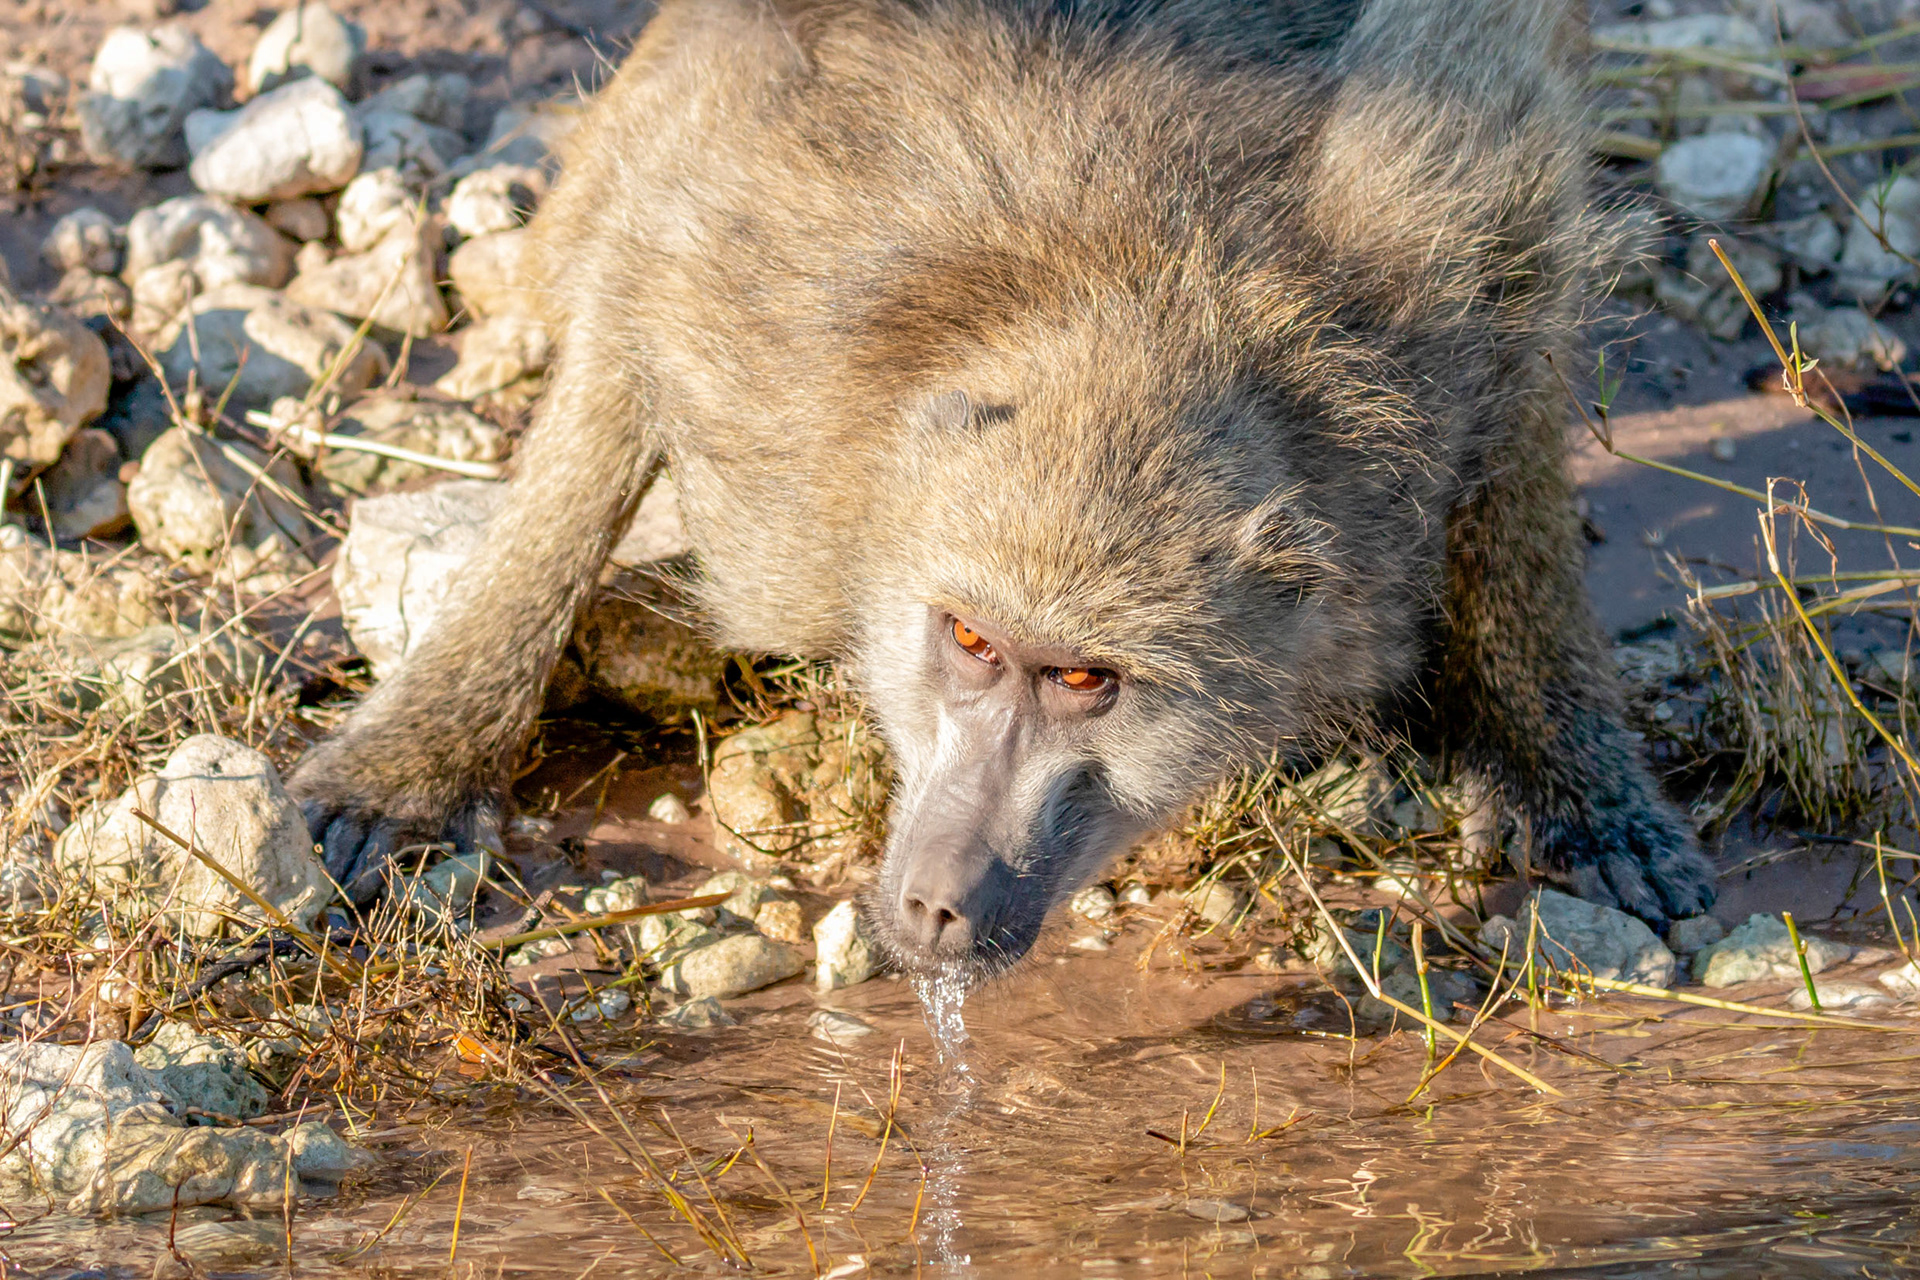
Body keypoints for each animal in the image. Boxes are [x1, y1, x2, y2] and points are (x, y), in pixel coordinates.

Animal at [290, 0, 1716, 982]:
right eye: (970, 642)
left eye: (1088, 679)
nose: (936, 902)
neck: (1148, 289)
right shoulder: (743, 266)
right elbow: (611, 370)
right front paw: (413, 760)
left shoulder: (1470, 244)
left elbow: (1516, 432)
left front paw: (1582, 781)